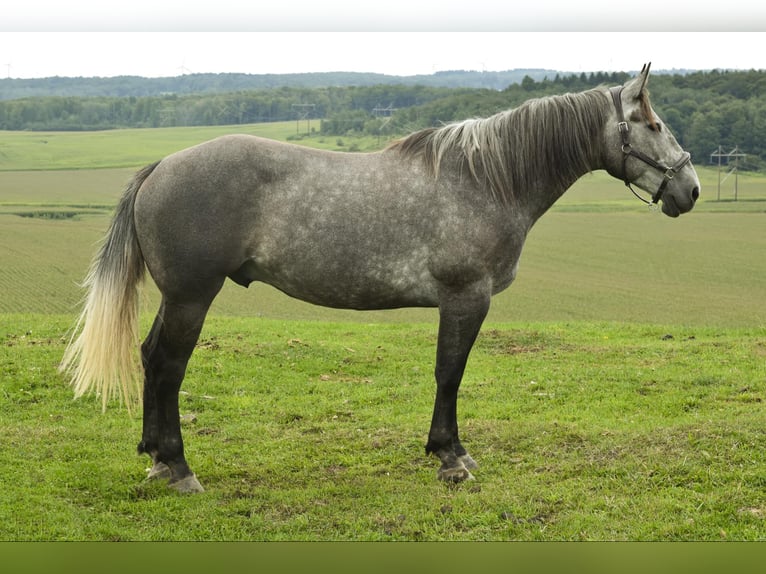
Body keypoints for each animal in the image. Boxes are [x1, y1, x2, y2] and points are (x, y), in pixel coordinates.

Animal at [60, 63, 700, 493]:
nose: (691, 190)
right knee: (169, 367)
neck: (486, 179)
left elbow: (448, 374)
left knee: (150, 358)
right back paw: (178, 467)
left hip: (178, 297)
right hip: (193, 296)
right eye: (652, 123)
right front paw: (451, 456)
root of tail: (161, 166)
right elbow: (449, 374)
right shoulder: (466, 299)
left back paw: (155, 456)